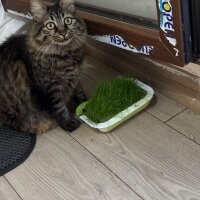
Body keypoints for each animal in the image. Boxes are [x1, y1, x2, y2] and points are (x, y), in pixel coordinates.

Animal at [0, 0, 88, 134]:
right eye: (50, 25)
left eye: (67, 20)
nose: (63, 32)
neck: (65, 55)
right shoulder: (50, 88)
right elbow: (59, 108)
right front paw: (69, 123)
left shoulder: (75, 76)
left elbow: (80, 92)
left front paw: (88, 104)